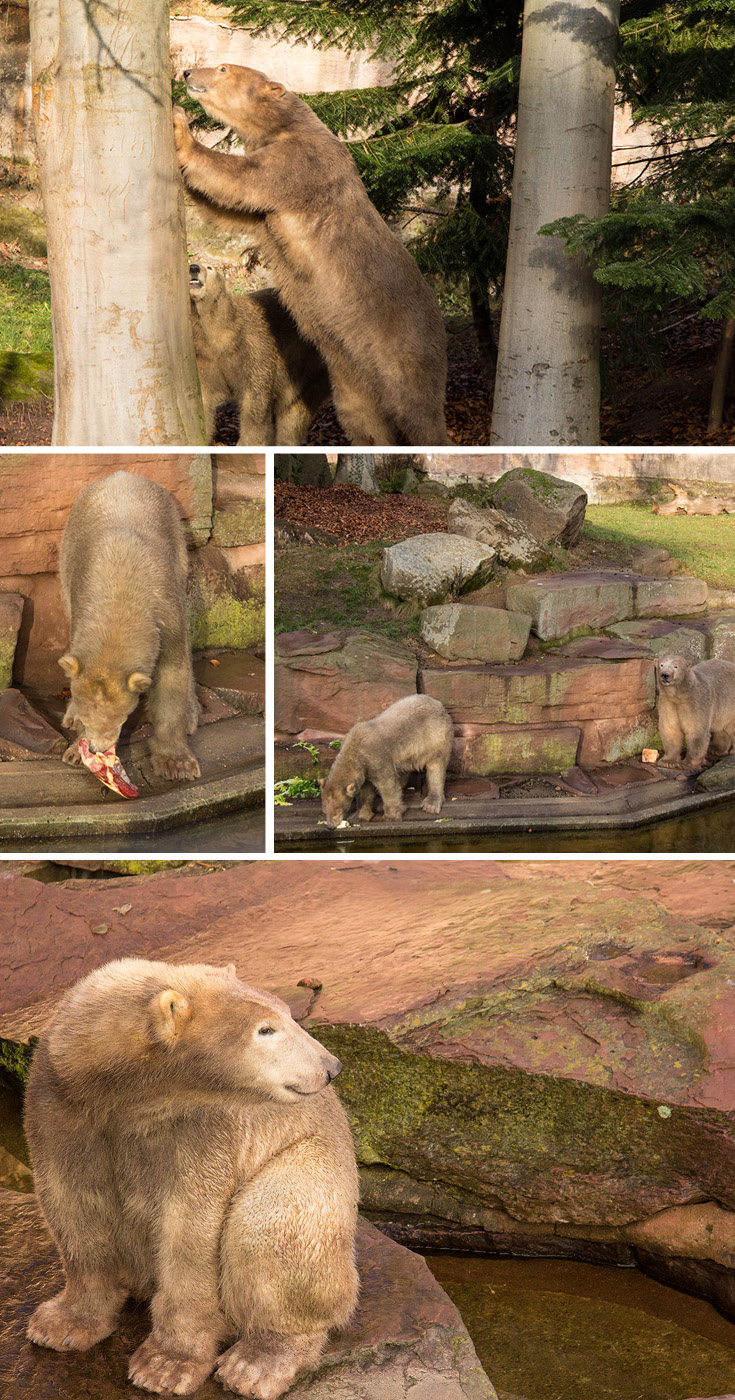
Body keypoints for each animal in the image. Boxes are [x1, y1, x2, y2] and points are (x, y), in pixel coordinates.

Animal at [22, 957, 355, 1400]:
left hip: (314, 1167)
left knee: (270, 1225)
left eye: (288, 1015)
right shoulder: (60, 1108)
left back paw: (256, 1363)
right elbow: (74, 1207)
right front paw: (61, 1324)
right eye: (266, 1029)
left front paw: (166, 1364)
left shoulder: (200, 1129)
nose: (331, 1067)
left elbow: (190, 1230)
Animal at [173, 66, 448, 448]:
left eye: (224, 68)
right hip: (349, 373)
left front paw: (180, 128)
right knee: (363, 418)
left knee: (419, 409)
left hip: (405, 345)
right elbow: (228, 209)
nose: (187, 72)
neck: (287, 125)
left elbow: (243, 178)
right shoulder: (267, 205)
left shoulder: (302, 161)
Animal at [319, 691, 456, 823]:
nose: (330, 826)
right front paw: (358, 816)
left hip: (435, 736)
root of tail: (440, 705)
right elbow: (365, 792)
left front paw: (391, 815)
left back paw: (431, 803)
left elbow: (387, 784)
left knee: (435, 767)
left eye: (337, 811)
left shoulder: (376, 757)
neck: (355, 750)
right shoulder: (365, 770)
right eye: (325, 811)